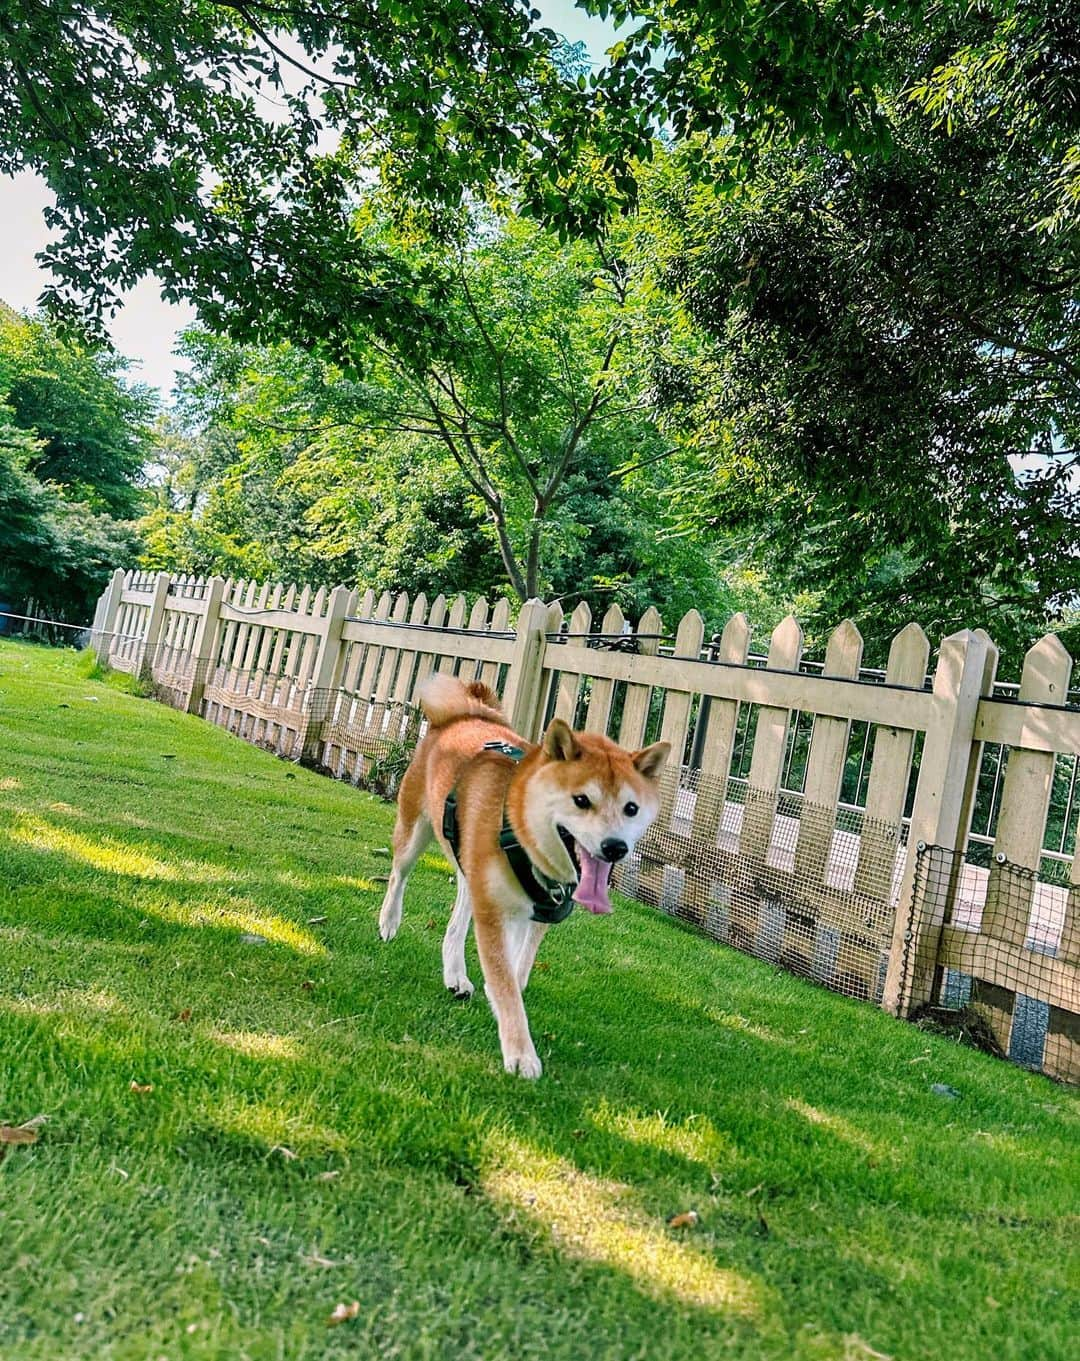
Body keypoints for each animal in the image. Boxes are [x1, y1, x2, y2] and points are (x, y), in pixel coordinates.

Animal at [375, 675, 669, 1077]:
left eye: (631, 808)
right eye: (581, 800)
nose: (615, 847)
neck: (519, 828)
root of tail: (463, 716)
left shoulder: (537, 912)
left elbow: (516, 971)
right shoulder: (497, 914)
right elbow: (506, 984)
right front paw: (520, 1053)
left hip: (473, 873)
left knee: (458, 915)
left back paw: (455, 974)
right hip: (414, 831)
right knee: (398, 875)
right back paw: (389, 922)